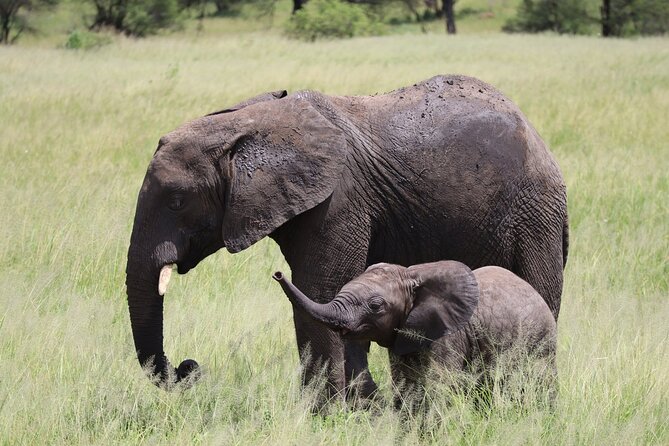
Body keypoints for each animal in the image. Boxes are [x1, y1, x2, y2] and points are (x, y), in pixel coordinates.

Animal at [272, 261, 557, 408]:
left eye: (375, 306)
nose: (277, 273)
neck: (413, 275)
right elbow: (406, 384)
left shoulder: (448, 333)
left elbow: (439, 382)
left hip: (541, 340)